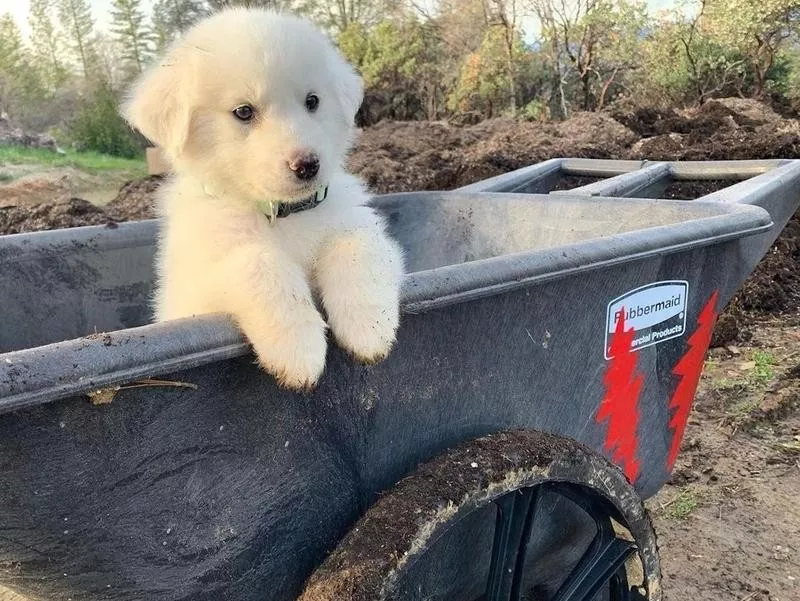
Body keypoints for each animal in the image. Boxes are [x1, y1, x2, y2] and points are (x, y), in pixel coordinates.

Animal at [121, 11, 404, 392]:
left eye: (312, 101)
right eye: (243, 111)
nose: (307, 165)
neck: (282, 215)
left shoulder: (364, 231)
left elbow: (357, 246)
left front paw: (369, 328)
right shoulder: (201, 286)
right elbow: (261, 262)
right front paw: (299, 349)